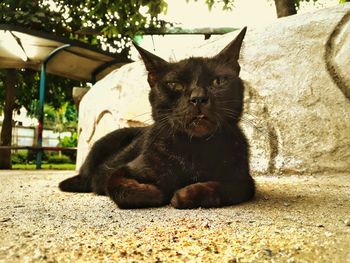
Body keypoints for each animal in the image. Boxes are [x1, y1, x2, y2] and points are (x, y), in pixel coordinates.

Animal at [59, 27, 254, 209]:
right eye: (174, 84)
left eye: (218, 81)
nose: (198, 97)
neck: (193, 148)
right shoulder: (121, 170)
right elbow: (119, 186)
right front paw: (156, 192)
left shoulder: (244, 180)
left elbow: (224, 188)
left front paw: (185, 194)